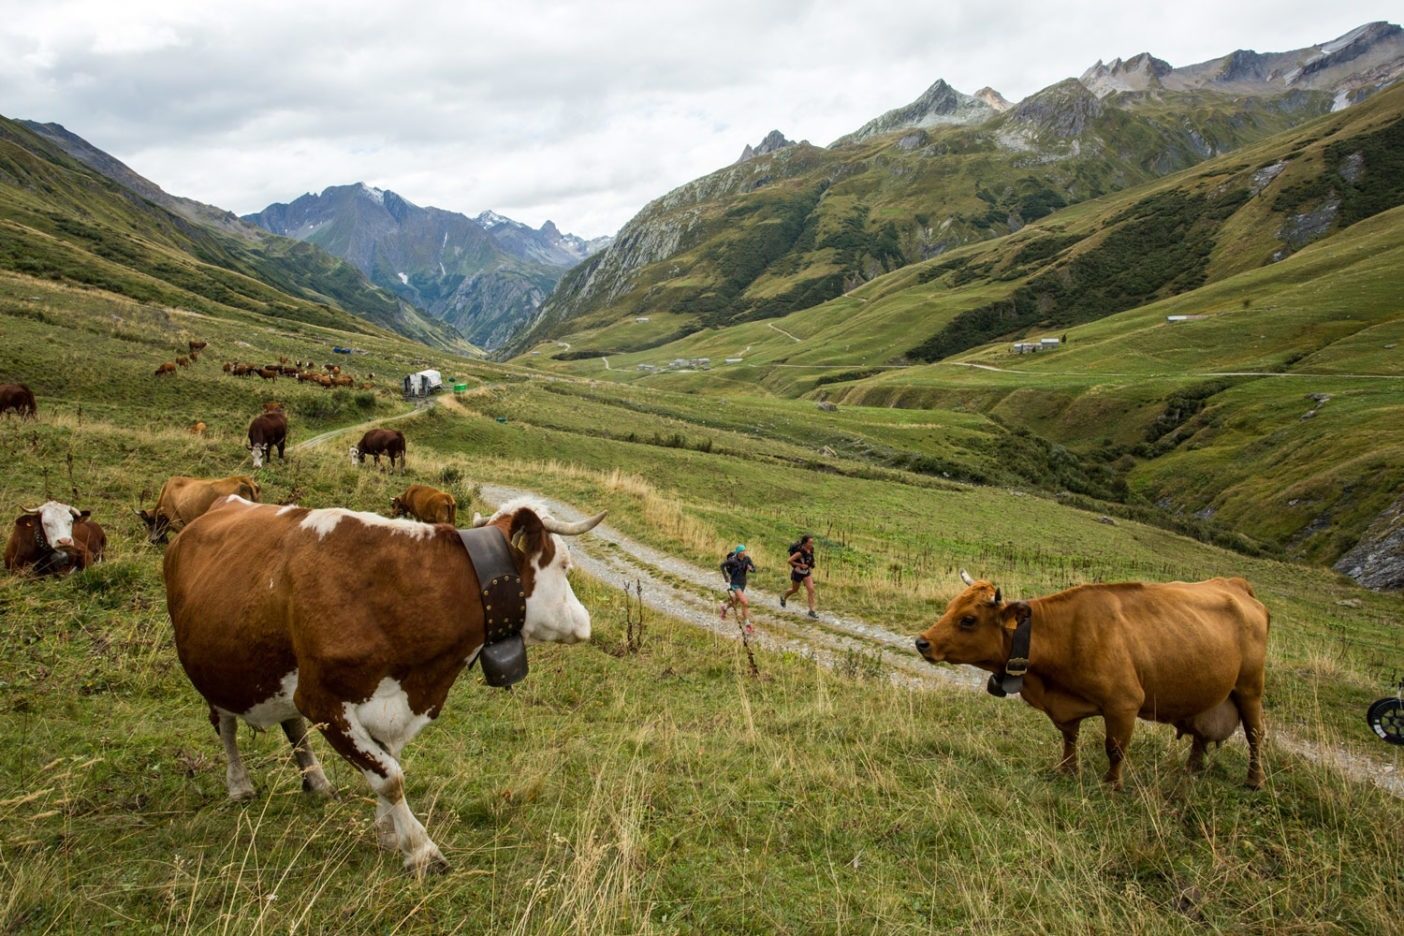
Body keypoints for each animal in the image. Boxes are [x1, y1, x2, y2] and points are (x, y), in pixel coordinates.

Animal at [164, 493, 603, 875]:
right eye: (565, 565)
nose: (586, 622)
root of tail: (220, 505)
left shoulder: (390, 701)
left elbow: (387, 760)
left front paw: (388, 832)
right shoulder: (322, 700)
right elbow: (389, 776)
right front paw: (421, 851)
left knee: (291, 724)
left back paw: (317, 781)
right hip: (212, 667)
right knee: (226, 725)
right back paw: (239, 785)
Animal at [915, 572, 1269, 791]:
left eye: (968, 620)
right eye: (949, 607)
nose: (922, 642)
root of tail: (1235, 584)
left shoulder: (1124, 703)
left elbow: (1114, 747)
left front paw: (1112, 784)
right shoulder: (1065, 707)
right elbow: (1070, 738)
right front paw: (1068, 770)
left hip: (1250, 689)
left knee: (1255, 735)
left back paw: (1254, 781)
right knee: (1201, 737)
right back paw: (1190, 771)